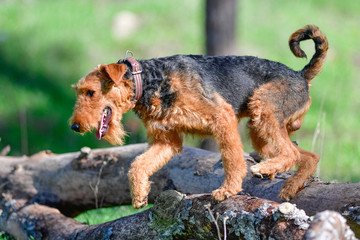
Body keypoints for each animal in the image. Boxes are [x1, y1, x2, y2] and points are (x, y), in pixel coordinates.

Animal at [70, 24, 330, 208]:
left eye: (90, 92)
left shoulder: (222, 118)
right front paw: (139, 196)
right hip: (261, 132)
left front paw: (228, 190)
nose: (75, 127)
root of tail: (300, 75)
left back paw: (266, 171)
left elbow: (232, 160)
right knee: (307, 156)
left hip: (263, 113)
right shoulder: (166, 140)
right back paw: (287, 186)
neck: (150, 80)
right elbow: (138, 165)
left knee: (292, 153)